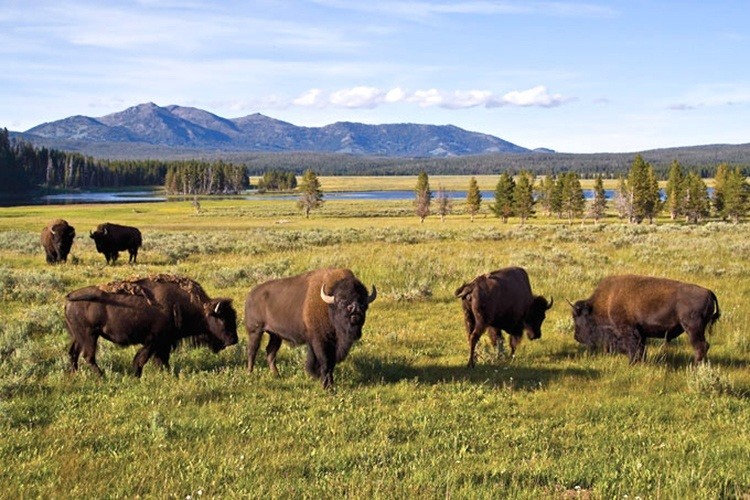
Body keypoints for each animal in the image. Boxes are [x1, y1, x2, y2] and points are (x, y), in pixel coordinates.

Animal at [67, 274, 239, 376]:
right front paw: (136, 375)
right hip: (90, 336)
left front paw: (167, 374)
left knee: (73, 353)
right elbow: (142, 359)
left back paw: (73, 374)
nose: (234, 340)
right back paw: (102, 376)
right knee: (88, 356)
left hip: (79, 337)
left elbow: (162, 360)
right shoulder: (154, 341)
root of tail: (69, 298)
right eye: (222, 319)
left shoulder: (164, 343)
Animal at [245, 268, 378, 388]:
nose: (355, 308)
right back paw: (250, 373)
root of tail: (251, 295)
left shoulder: (333, 344)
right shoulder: (320, 341)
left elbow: (331, 363)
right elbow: (325, 362)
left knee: (270, 352)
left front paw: (329, 383)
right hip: (255, 331)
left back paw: (277, 375)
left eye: (364, 303)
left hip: (275, 335)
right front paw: (326, 386)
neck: (328, 306)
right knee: (252, 350)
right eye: (341, 301)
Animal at [568, 274, 724, 364]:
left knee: (700, 346)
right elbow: (641, 349)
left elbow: (633, 348)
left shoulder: (628, 330)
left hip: (693, 329)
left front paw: (632, 363)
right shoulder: (641, 333)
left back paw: (695, 366)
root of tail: (708, 292)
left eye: (577, 316)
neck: (607, 301)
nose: (577, 337)